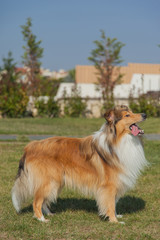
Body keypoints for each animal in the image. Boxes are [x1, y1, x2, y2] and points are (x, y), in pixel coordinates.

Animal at [11, 105, 148, 223]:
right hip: (49, 180)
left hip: (55, 181)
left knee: (44, 200)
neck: (116, 140)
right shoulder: (109, 186)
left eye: (132, 112)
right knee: (36, 201)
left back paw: (49, 213)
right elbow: (110, 203)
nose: (145, 114)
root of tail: (30, 146)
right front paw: (114, 221)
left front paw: (115, 216)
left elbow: (113, 202)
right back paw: (42, 219)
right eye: (127, 115)